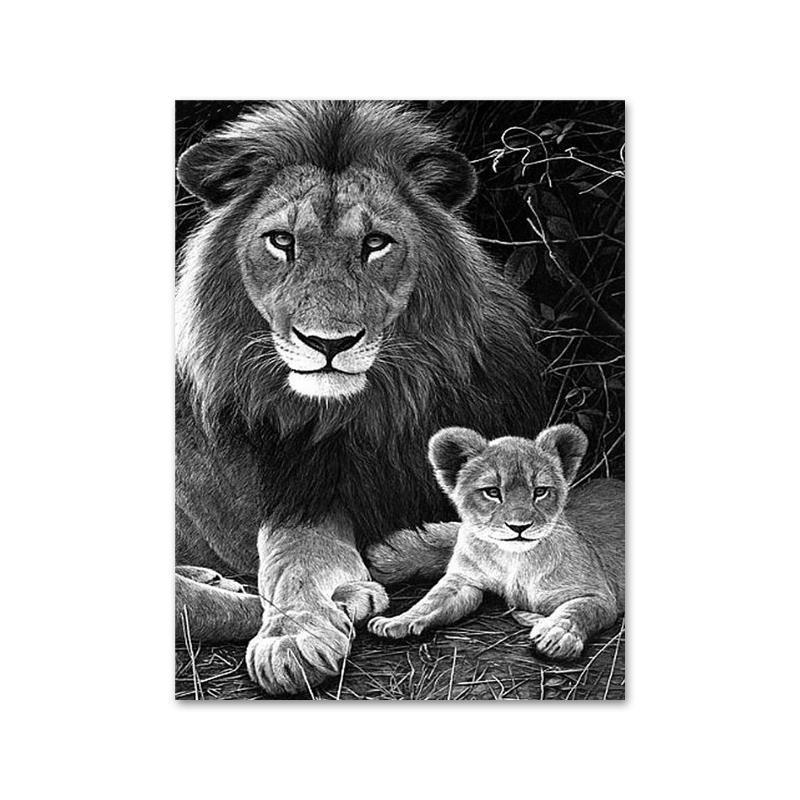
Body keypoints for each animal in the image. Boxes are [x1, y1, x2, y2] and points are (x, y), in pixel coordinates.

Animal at [175, 101, 546, 695]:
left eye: (375, 243)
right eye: (282, 241)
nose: (328, 344)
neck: (377, 409)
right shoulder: (299, 497)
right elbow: (296, 564)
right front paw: (294, 635)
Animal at [368, 424, 625, 659]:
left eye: (540, 491)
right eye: (492, 492)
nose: (519, 527)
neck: (513, 559)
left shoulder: (598, 595)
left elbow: (579, 610)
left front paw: (558, 634)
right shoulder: (464, 580)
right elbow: (432, 601)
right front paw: (397, 621)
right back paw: (386, 559)